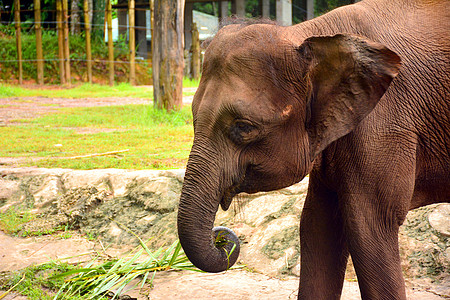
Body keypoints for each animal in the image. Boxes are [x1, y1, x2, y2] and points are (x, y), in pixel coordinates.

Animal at [178, 0, 448, 298]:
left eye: (244, 127)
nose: (221, 239)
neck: (309, 34)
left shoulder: (385, 126)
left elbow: (369, 227)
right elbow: (318, 225)